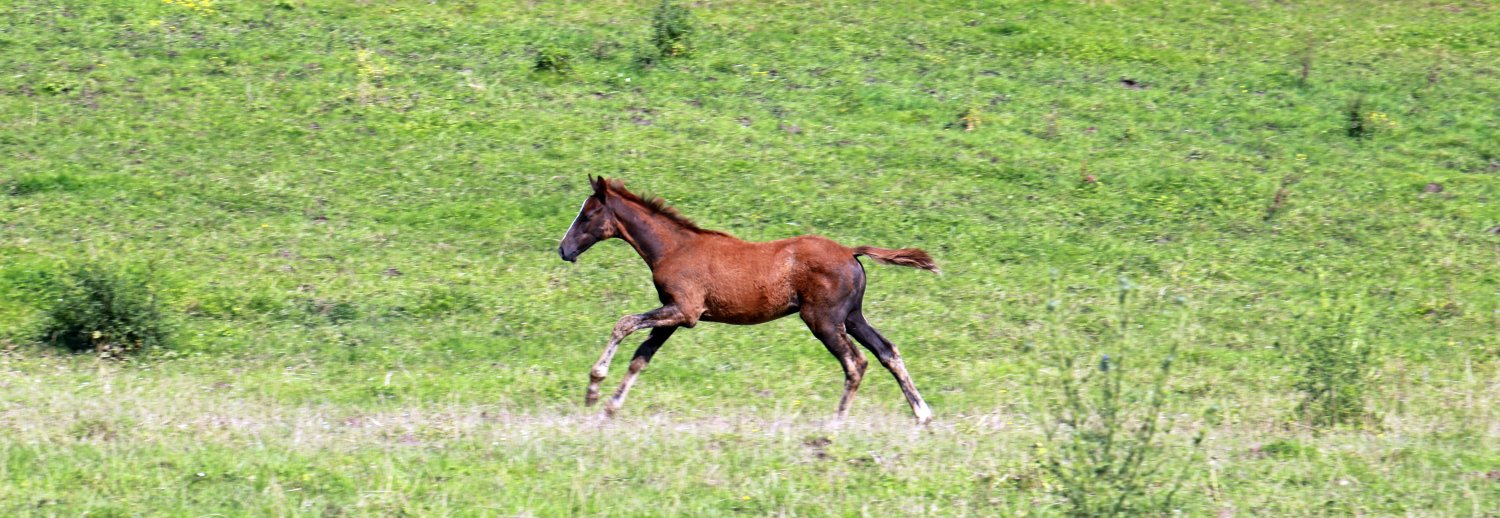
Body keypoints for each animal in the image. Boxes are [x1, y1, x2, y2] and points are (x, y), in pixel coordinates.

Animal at [557, 176, 939, 424]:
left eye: (588, 215)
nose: (563, 249)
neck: (674, 248)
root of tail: (850, 252)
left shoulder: (684, 310)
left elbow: (623, 323)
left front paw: (593, 388)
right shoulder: (674, 316)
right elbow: (641, 357)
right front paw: (610, 407)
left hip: (824, 320)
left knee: (856, 362)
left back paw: (836, 423)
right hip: (853, 316)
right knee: (887, 351)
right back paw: (922, 414)